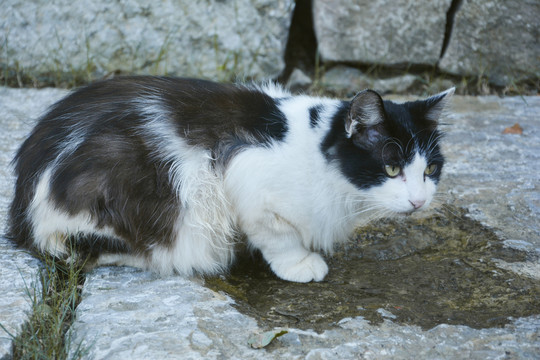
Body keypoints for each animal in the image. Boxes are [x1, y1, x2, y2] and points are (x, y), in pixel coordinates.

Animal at [10, 77, 454, 282]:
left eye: (430, 170)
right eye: (391, 168)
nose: (419, 201)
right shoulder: (248, 180)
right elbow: (278, 235)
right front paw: (300, 264)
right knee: (91, 249)